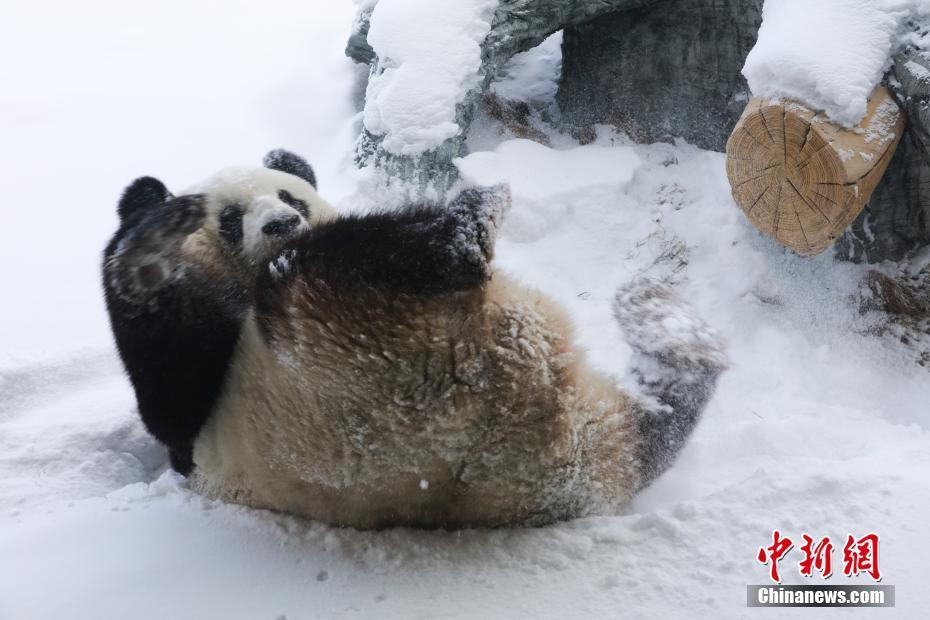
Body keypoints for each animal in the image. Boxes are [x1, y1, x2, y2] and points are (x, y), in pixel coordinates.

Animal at [101, 149, 724, 528]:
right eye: (230, 218)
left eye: (290, 197)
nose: (281, 225)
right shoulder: (205, 415)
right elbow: (170, 386)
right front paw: (148, 242)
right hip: (335, 352)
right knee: (342, 262)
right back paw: (465, 222)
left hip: (582, 448)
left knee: (652, 427)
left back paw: (670, 328)